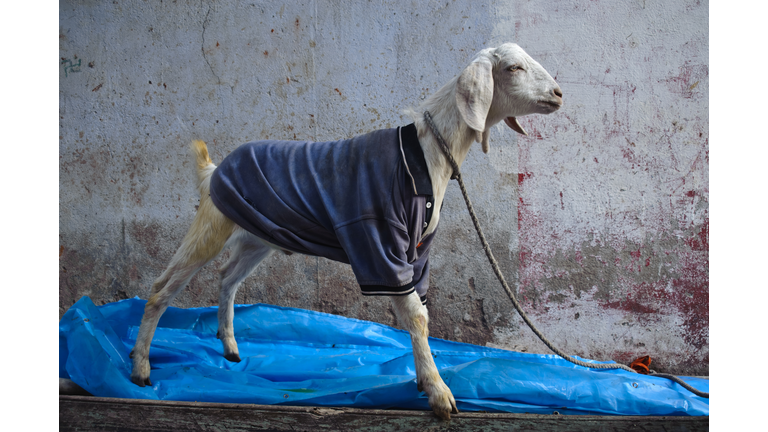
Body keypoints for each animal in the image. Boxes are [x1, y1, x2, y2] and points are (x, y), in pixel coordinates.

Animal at [129, 43, 564, 418]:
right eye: (514, 68)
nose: (559, 94)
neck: (426, 155)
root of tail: (212, 170)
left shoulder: (417, 251)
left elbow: (419, 309)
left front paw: (423, 380)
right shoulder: (381, 243)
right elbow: (416, 316)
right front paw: (439, 393)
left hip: (256, 238)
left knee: (227, 278)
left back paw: (231, 348)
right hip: (211, 227)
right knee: (162, 289)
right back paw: (141, 370)